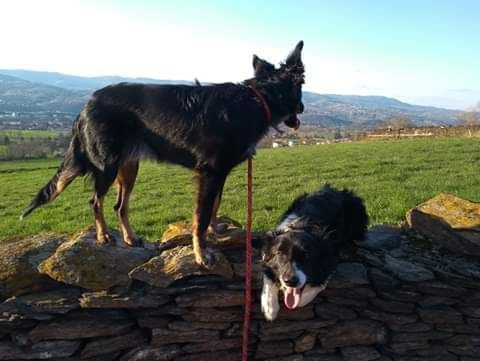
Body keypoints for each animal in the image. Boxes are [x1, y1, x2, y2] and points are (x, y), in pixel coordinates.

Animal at [20, 42, 306, 268]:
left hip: (129, 168)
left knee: (119, 205)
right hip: (107, 165)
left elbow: (215, 205)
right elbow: (200, 216)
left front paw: (215, 230)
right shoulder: (211, 172)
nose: (303, 107)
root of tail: (86, 105)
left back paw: (129, 237)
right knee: (95, 201)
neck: (257, 99)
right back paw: (103, 236)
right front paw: (201, 254)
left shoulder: (219, 173)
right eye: (300, 90)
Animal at [258, 184, 368, 320]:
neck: (300, 227)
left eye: (307, 256)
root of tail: (337, 190)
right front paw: (270, 307)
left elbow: (311, 291)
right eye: (279, 254)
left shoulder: (329, 259)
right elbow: (268, 273)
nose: (290, 281)